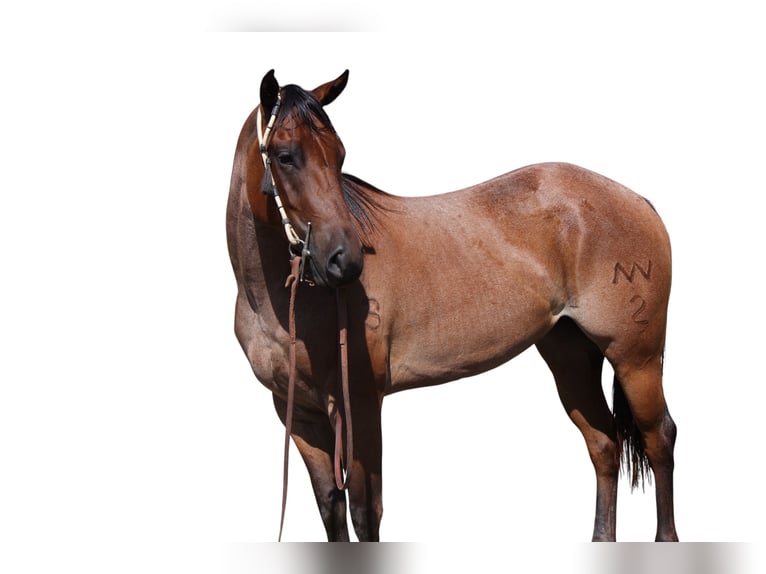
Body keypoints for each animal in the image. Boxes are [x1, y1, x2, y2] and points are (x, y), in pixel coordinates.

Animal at [225, 69, 678, 542]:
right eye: (285, 156)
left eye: (339, 155)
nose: (344, 260)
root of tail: (638, 201)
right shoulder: (299, 415)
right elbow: (331, 507)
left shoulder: (361, 406)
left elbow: (366, 513)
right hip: (570, 354)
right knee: (604, 444)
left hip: (636, 358)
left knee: (659, 438)